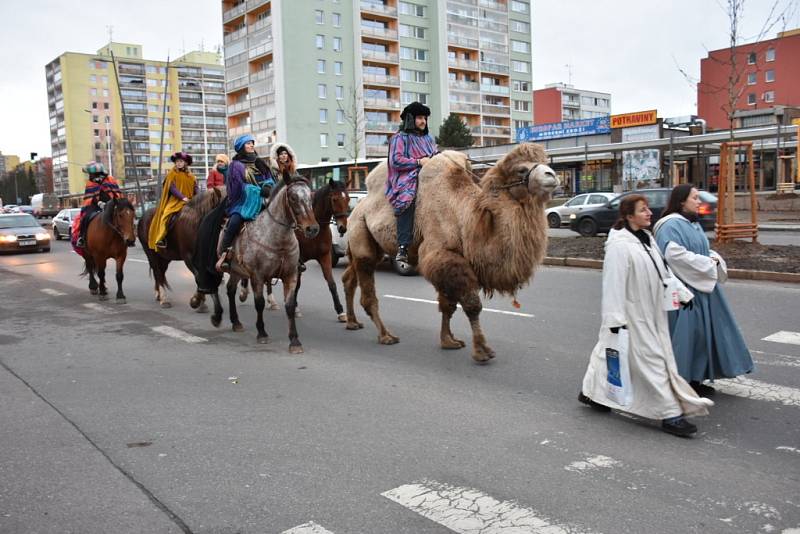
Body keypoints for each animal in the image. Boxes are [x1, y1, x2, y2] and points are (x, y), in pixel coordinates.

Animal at [342, 144, 556, 364]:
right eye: (521, 169)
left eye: (545, 162)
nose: (552, 175)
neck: (465, 218)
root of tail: (355, 209)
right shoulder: (441, 255)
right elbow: (471, 305)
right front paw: (482, 350)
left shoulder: (448, 262)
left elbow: (448, 305)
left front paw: (449, 341)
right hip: (361, 232)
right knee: (367, 292)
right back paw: (385, 335)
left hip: (369, 246)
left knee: (349, 277)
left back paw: (352, 322)